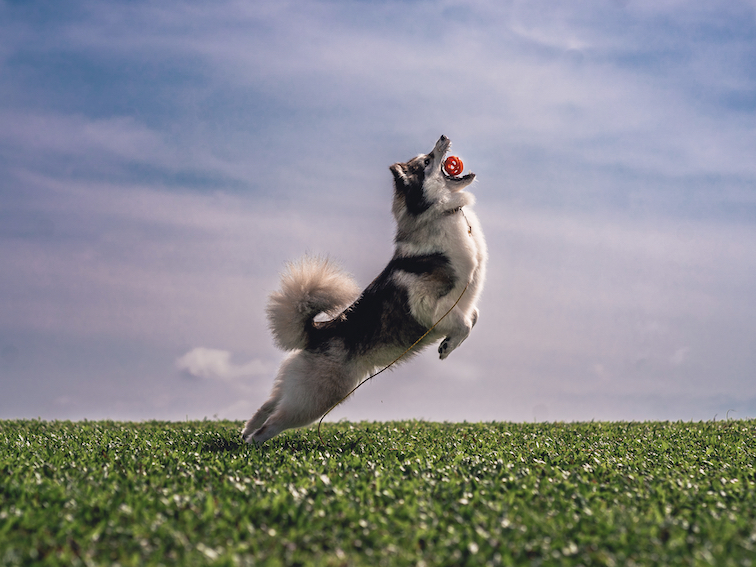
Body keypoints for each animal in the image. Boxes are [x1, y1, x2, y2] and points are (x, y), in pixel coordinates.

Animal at [244, 136, 490, 444]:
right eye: (427, 160)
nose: (443, 137)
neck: (442, 214)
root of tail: (319, 330)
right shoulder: (428, 305)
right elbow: (465, 323)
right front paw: (446, 347)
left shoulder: (464, 305)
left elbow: (474, 317)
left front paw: (448, 345)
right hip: (315, 401)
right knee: (272, 424)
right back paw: (252, 445)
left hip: (297, 390)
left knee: (268, 404)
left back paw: (244, 432)